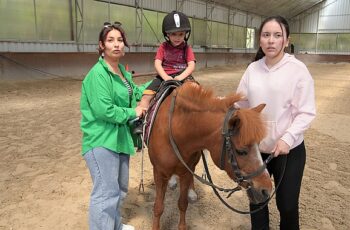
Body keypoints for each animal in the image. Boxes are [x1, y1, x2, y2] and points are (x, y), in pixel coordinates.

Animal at [146, 82, 272, 229]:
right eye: (241, 151)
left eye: (259, 145)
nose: (266, 190)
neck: (176, 130)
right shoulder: (159, 173)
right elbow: (158, 207)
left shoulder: (185, 172)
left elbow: (182, 204)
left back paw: (191, 192)